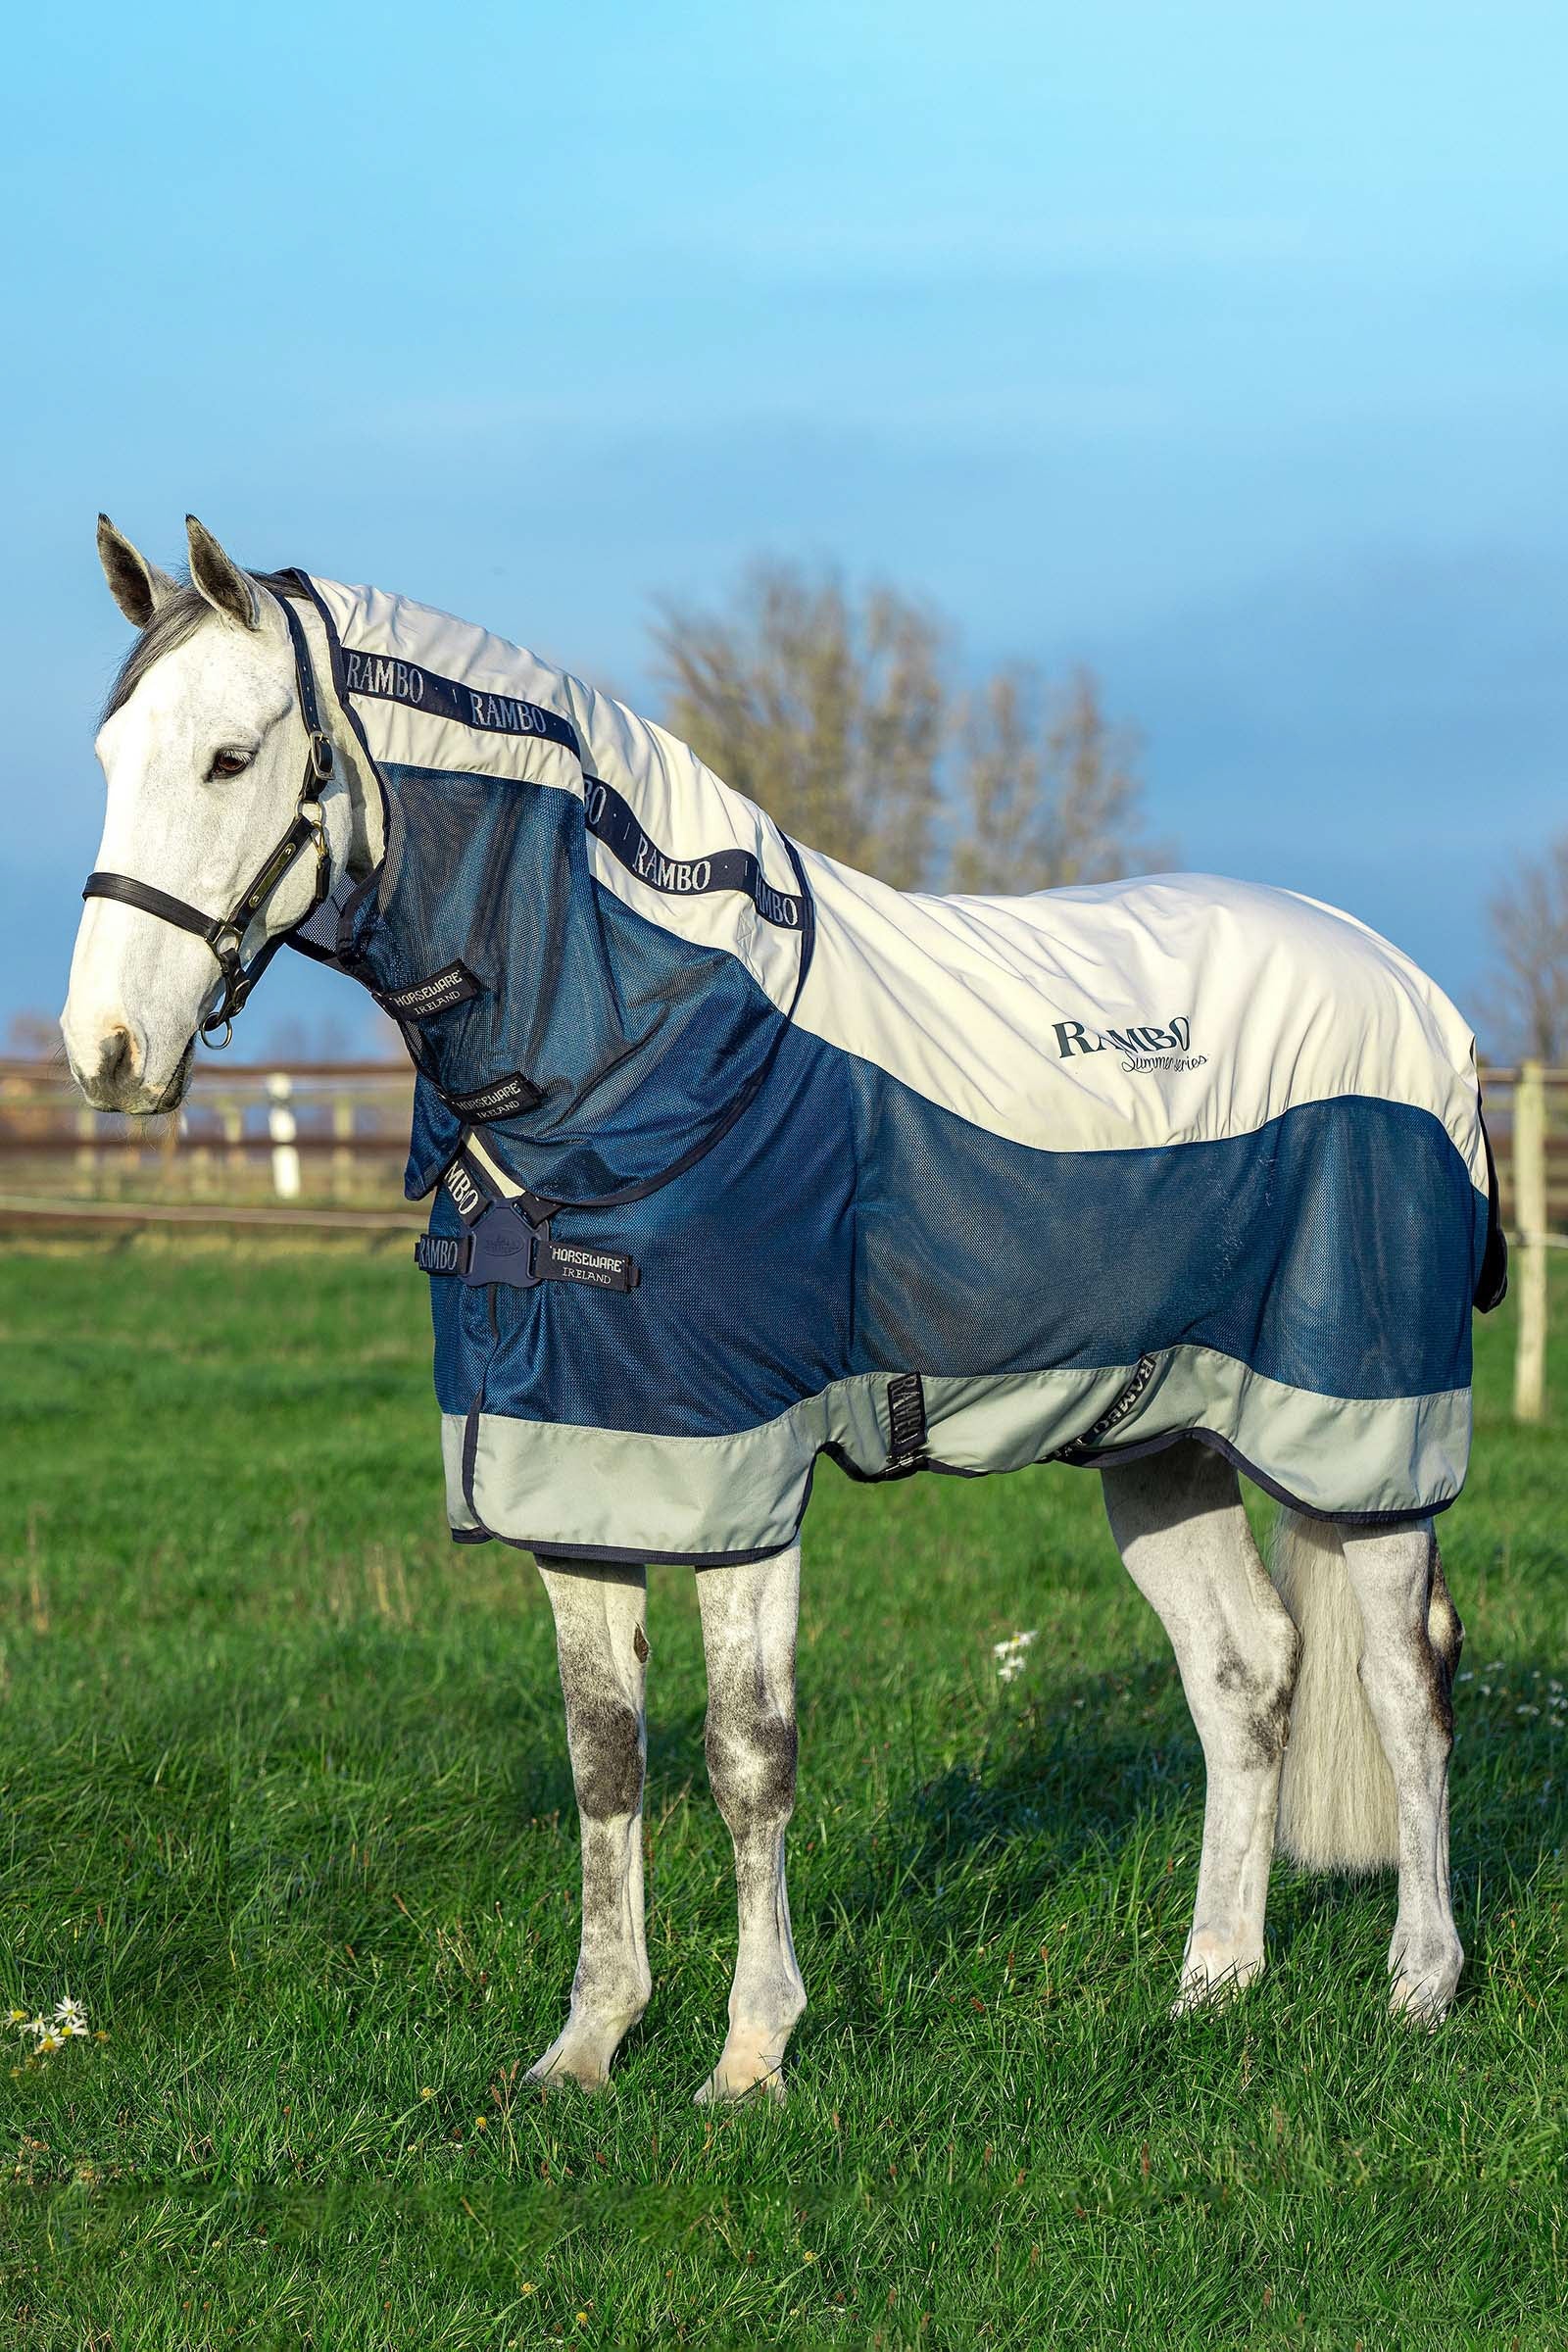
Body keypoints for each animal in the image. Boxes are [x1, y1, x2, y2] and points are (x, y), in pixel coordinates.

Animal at [63, 514, 1501, 2099]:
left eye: (229, 760)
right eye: (110, 752)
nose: (105, 1053)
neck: (640, 1056)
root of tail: (1417, 997)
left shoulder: (737, 1476)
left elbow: (748, 1758)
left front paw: (750, 2055)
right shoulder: (582, 1475)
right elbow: (606, 1758)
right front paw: (588, 2044)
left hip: (1361, 1430)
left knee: (1405, 1682)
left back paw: (1421, 1985)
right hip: (1159, 1436)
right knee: (1245, 1678)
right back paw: (1211, 1986)